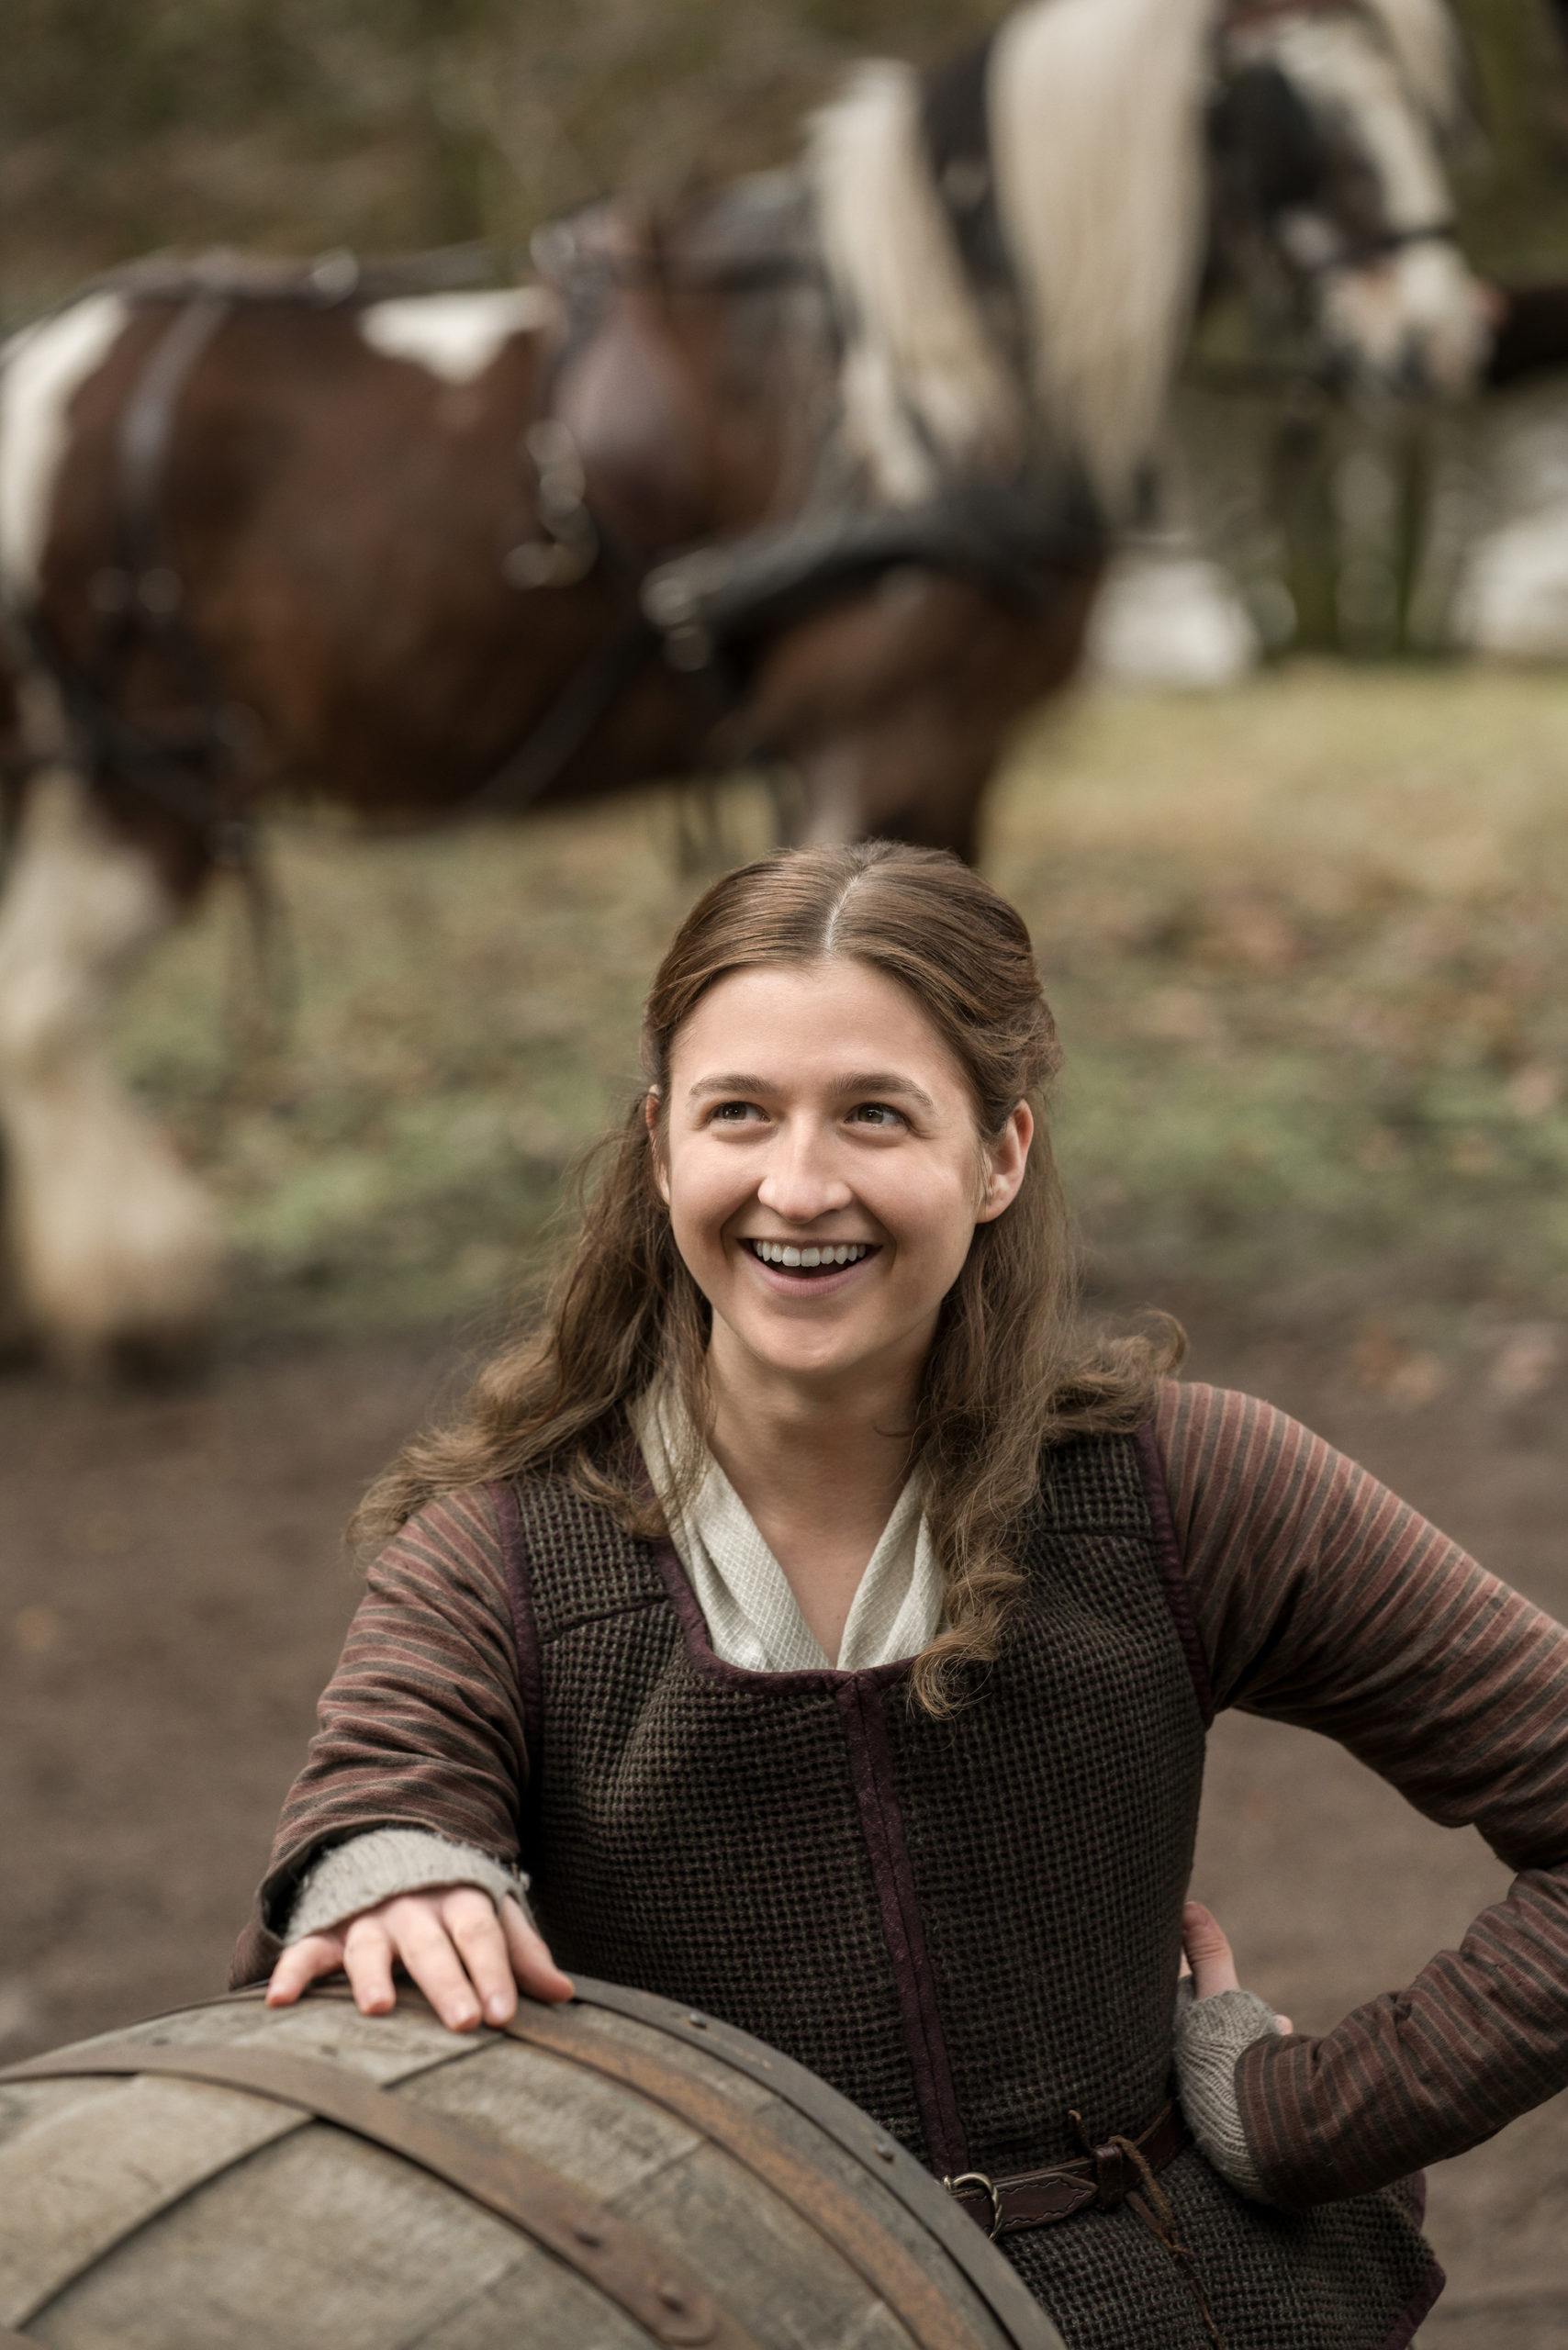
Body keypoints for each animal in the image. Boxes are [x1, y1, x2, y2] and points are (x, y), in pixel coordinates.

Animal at [0, 0, 1485, 1372]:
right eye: (1295, 116)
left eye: (1432, 101)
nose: (1439, 345)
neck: (903, 373)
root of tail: (42, 369)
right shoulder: (877, 734)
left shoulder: (954, 748)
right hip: (143, 770)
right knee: (43, 1009)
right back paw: (130, 1293)